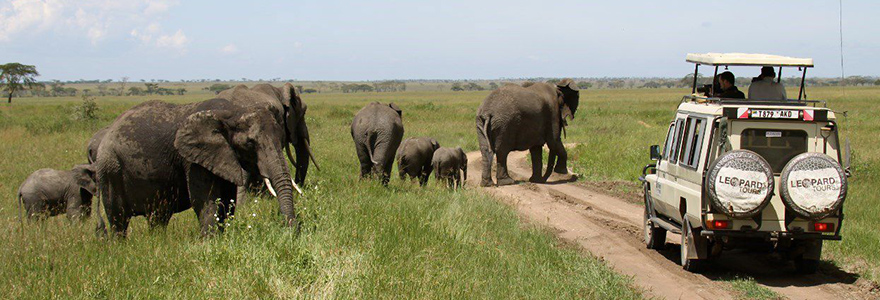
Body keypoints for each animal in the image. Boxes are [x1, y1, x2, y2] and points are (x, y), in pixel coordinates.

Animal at [95, 98, 298, 237]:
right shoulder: (193, 160)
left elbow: (227, 201)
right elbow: (206, 201)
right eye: (250, 143)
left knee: (158, 217)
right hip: (110, 168)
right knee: (118, 219)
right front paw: (210, 242)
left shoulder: (223, 157)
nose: (292, 229)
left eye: (282, 138)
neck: (232, 112)